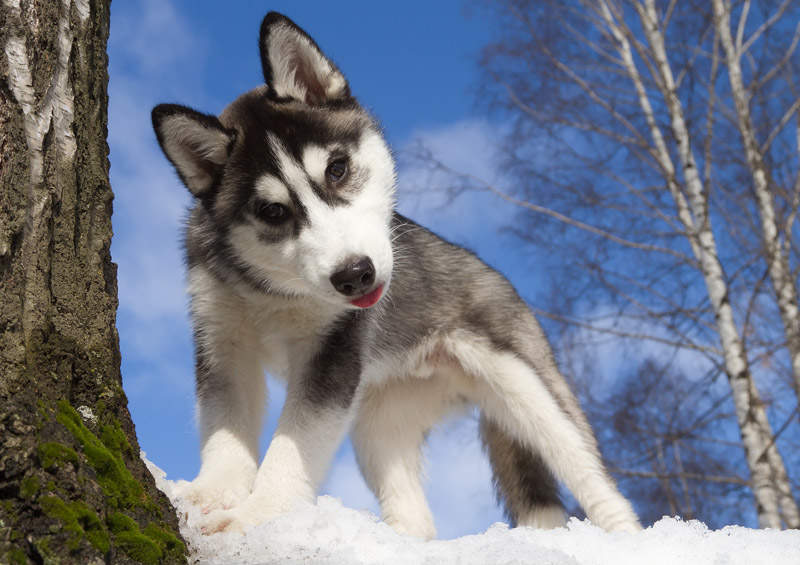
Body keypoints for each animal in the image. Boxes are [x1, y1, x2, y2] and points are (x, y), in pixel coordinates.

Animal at [150, 11, 636, 536]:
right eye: (273, 212)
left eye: (337, 169)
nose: (355, 275)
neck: (275, 291)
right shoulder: (222, 341)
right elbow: (224, 430)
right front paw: (210, 494)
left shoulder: (334, 353)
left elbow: (289, 451)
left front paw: (257, 517)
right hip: (378, 423)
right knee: (416, 516)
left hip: (530, 391)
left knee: (597, 480)